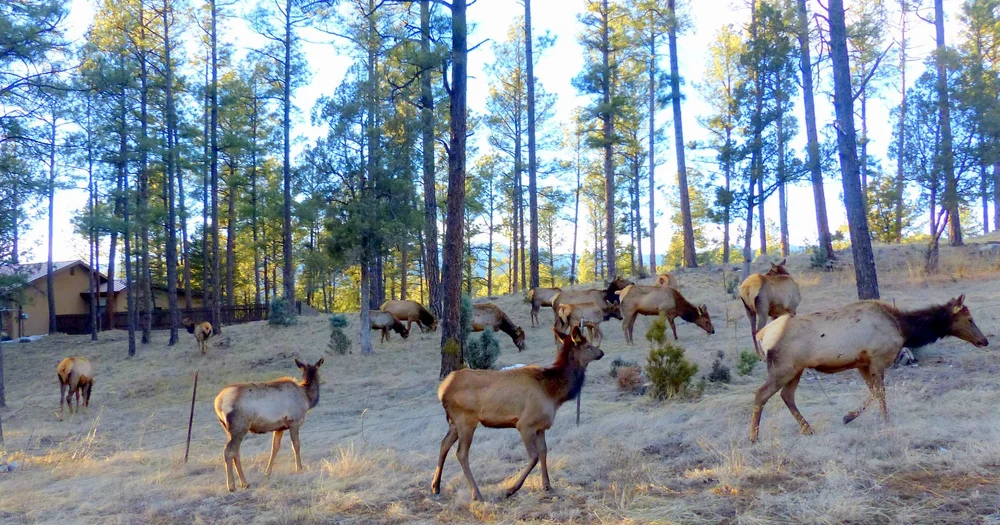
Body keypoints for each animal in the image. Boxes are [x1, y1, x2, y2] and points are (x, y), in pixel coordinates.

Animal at [214, 358, 324, 492]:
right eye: (318, 371)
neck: (307, 399)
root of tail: (218, 403)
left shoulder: (279, 427)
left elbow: (274, 448)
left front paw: (267, 472)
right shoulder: (294, 421)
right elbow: (296, 446)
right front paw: (299, 469)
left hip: (228, 428)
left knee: (235, 452)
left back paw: (243, 483)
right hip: (239, 426)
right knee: (229, 451)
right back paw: (233, 485)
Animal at [432, 325, 604, 501]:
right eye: (588, 346)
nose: (601, 352)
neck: (553, 393)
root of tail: (442, 390)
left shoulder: (540, 426)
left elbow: (544, 451)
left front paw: (547, 485)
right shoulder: (525, 424)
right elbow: (534, 456)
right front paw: (511, 489)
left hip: (454, 422)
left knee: (444, 444)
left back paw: (436, 487)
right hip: (466, 419)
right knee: (461, 453)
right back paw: (477, 494)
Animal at [749, 296, 989, 443]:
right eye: (969, 319)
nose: (984, 340)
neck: (904, 329)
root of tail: (761, 336)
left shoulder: (862, 363)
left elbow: (873, 392)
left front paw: (848, 417)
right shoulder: (877, 359)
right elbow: (880, 393)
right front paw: (885, 422)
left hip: (796, 369)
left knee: (787, 396)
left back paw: (807, 428)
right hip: (783, 367)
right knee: (761, 393)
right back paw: (754, 436)